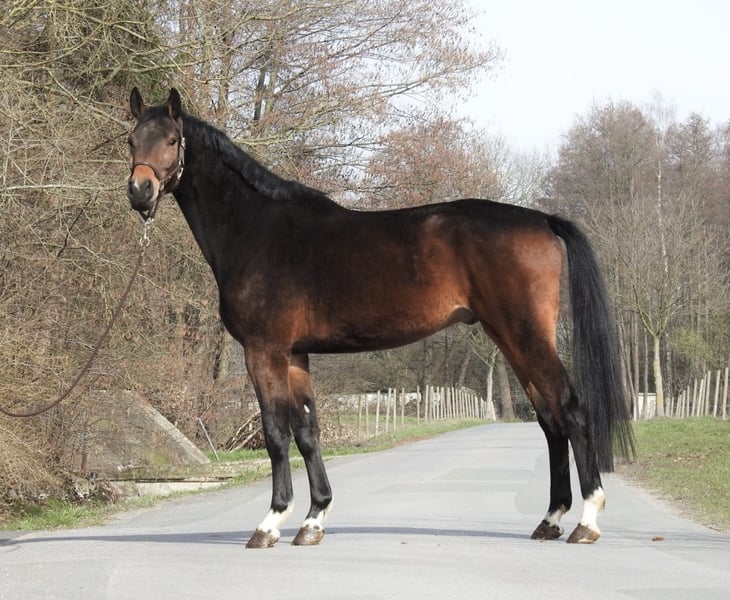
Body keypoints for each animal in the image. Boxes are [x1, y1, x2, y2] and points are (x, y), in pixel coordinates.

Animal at [126, 88, 634, 549]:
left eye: (171, 139)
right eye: (132, 139)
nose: (139, 191)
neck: (257, 229)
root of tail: (542, 220)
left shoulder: (264, 350)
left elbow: (275, 433)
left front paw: (271, 523)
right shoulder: (295, 354)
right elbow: (307, 432)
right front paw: (313, 520)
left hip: (525, 335)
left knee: (572, 411)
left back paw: (587, 521)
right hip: (512, 339)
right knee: (549, 419)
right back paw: (550, 519)